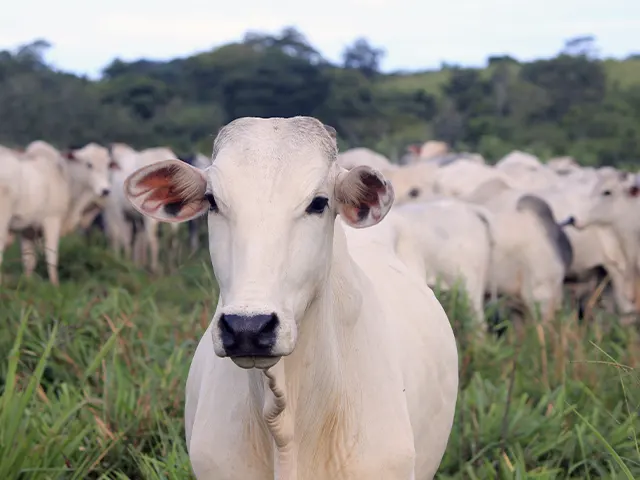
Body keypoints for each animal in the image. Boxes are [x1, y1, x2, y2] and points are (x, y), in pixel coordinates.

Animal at [0, 141, 116, 284]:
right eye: (89, 164)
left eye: (108, 164)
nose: (105, 190)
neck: (65, 177)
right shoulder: (52, 221)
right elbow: (51, 257)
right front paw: (55, 285)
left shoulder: (28, 230)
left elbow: (29, 261)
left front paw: (27, 283)